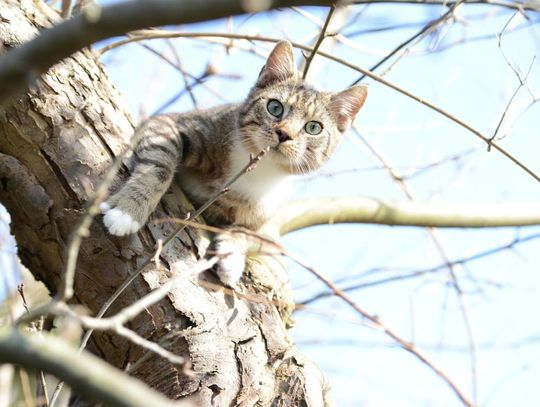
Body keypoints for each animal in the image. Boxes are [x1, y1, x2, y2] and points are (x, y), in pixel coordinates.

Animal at [100, 39, 370, 286]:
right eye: (275, 107)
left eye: (313, 128)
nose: (284, 134)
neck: (258, 170)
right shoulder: (170, 122)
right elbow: (159, 166)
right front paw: (128, 211)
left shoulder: (263, 214)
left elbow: (245, 231)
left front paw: (231, 256)